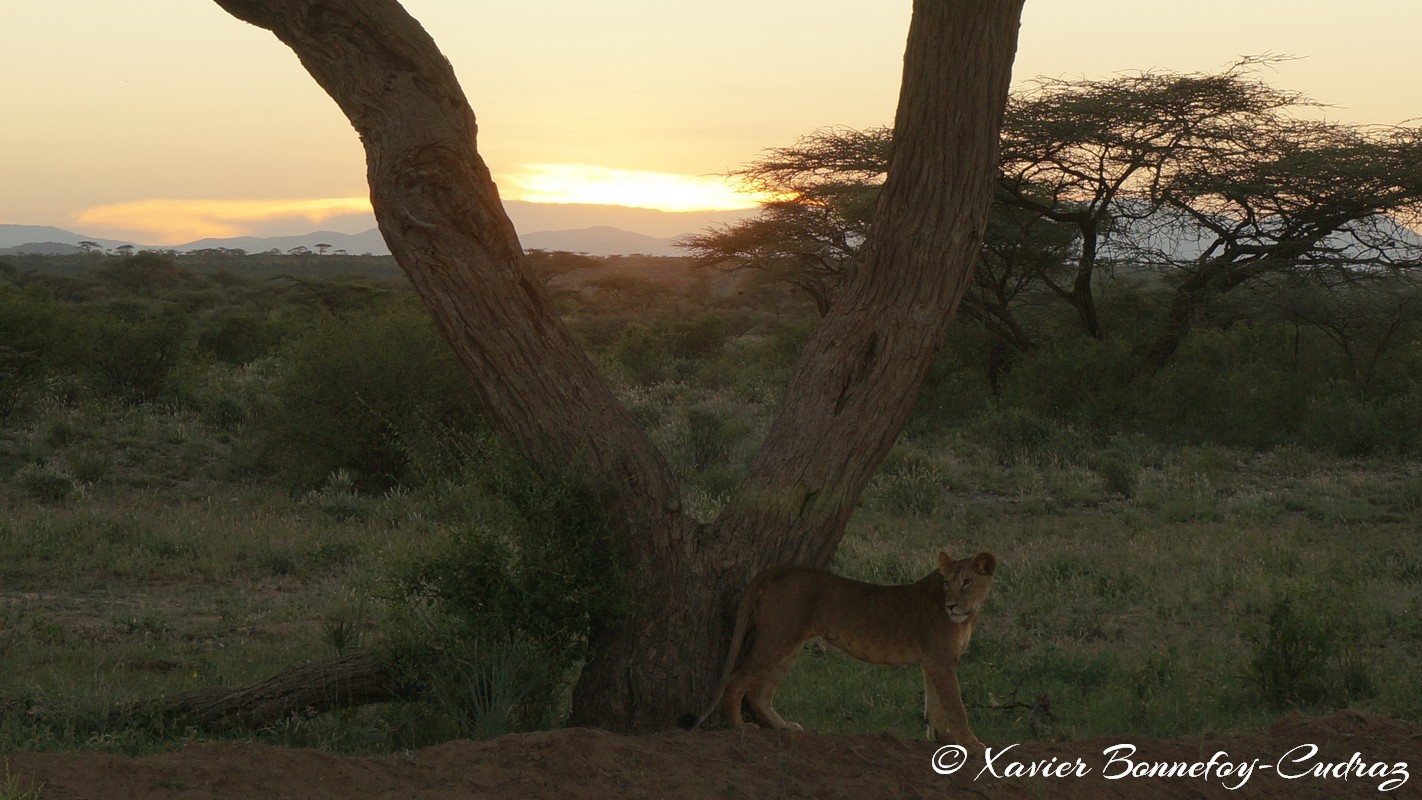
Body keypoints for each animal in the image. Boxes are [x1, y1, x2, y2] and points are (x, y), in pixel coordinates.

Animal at [679, 548, 995, 755]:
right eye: (947, 583)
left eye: (967, 582)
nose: (951, 605)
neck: (969, 615)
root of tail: (777, 569)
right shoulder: (941, 660)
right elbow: (955, 706)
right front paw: (971, 743)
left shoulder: (931, 661)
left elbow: (935, 706)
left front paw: (941, 739)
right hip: (777, 638)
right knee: (736, 681)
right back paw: (740, 727)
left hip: (789, 643)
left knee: (759, 693)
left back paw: (784, 727)